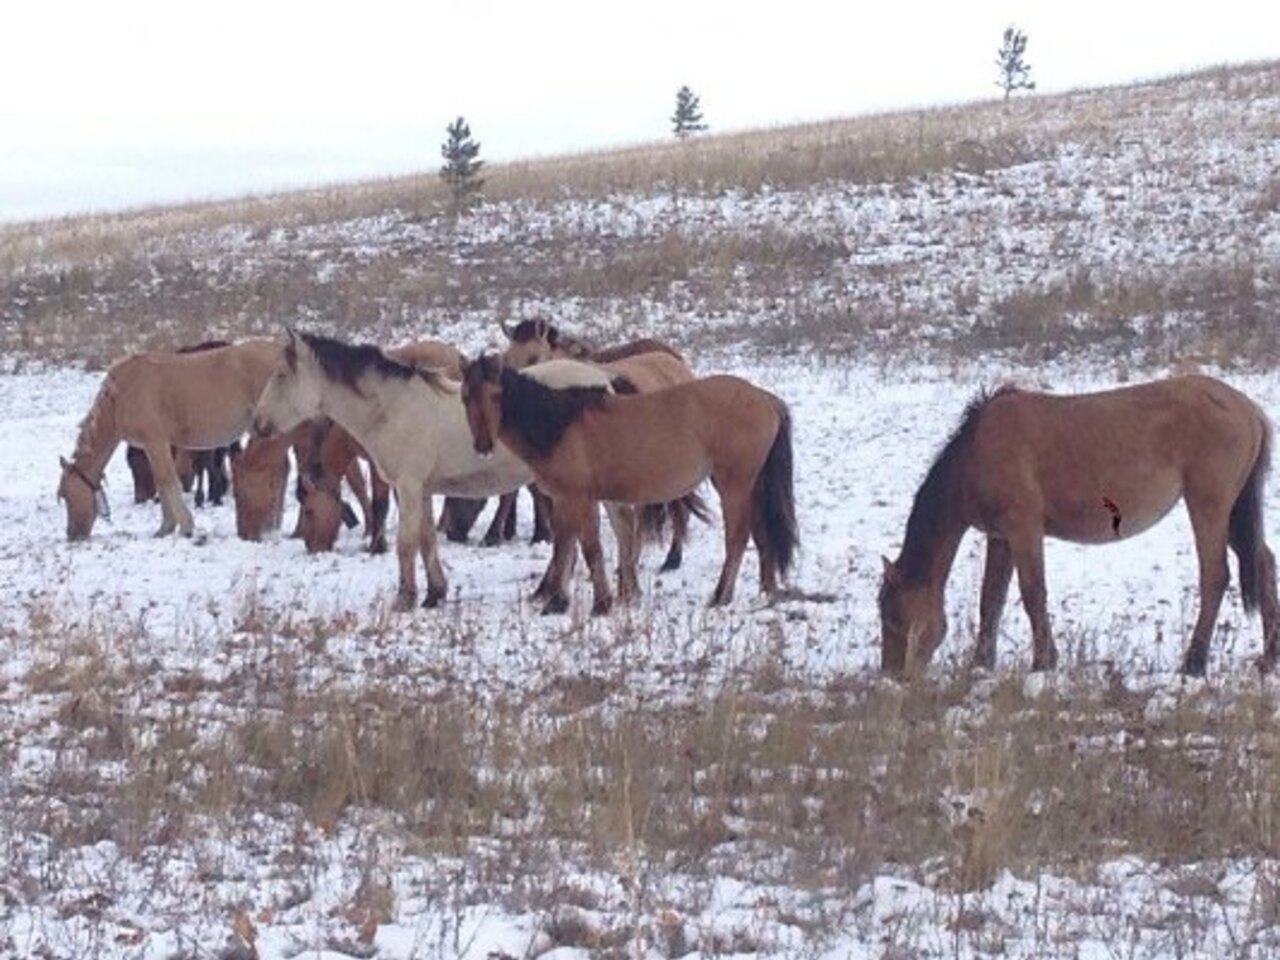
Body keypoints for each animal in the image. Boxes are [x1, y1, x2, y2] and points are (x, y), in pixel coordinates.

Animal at [58, 339, 281, 539]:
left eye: (65, 495)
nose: (72, 535)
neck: (119, 396)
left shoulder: (156, 443)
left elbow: (167, 480)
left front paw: (185, 527)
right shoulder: (153, 447)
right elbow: (160, 481)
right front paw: (166, 527)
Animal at [251, 330, 621, 610]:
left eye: (281, 375)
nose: (258, 424)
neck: (392, 408)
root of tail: (602, 381)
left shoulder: (408, 486)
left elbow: (406, 542)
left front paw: (405, 598)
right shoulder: (422, 489)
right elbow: (428, 539)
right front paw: (434, 594)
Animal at [460, 353, 798, 615]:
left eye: (496, 395)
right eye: (465, 397)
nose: (483, 445)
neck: (561, 426)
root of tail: (765, 398)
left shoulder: (577, 498)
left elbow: (587, 548)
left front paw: (599, 604)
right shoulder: (580, 500)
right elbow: (571, 546)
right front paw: (563, 601)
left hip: (734, 483)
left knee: (738, 537)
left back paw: (721, 596)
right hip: (751, 483)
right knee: (762, 533)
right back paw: (766, 590)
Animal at [878, 376, 1280, 678]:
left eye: (894, 616)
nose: (893, 674)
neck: (975, 454)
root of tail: (1250, 411)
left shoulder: (1023, 528)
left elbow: (1032, 593)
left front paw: (1043, 663)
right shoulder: (1001, 537)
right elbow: (991, 598)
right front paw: (981, 664)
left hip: (1208, 505)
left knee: (1215, 576)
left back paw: (1193, 663)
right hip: (1235, 512)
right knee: (1263, 562)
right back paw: (1268, 659)